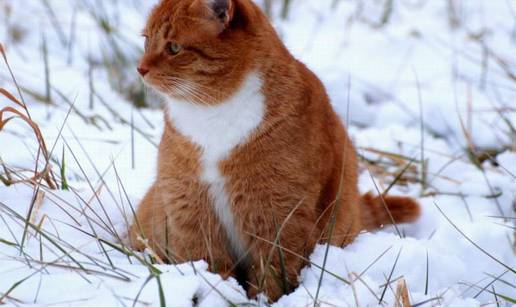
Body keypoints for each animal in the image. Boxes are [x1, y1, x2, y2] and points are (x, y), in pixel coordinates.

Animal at [128, 0, 420, 304]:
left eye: (174, 47)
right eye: (147, 40)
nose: (140, 68)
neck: (212, 112)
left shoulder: (277, 211)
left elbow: (273, 269)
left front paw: (262, 300)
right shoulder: (188, 204)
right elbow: (209, 262)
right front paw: (218, 293)